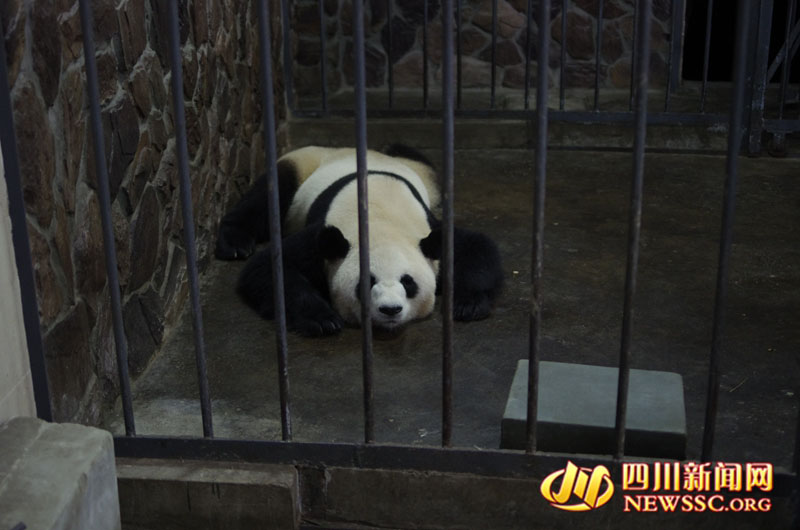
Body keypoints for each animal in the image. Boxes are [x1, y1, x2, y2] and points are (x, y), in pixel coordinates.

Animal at [215, 145, 503, 337]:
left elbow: (475, 246)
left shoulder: (427, 227)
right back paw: (234, 243)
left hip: (427, 181)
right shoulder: (324, 237)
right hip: (300, 165)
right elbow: (268, 267)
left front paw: (468, 305)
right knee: (268, 195)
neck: (379, 222)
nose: (390, 309)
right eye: (367, 282)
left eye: (408, 282)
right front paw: (322, 319)